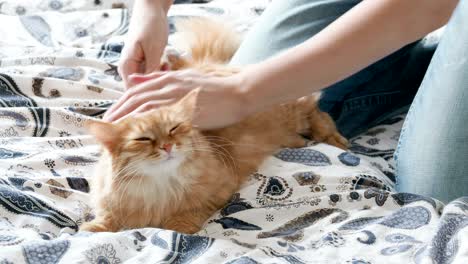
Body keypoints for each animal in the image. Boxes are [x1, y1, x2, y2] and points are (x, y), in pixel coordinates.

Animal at [80, 18, 348, 233]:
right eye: (143, 139)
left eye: (174, 128)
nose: (167, 147)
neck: (162, 187)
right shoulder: (110, 201)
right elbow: (107, 217)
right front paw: (92, 228)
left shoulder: (220, 189)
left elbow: (189, 213)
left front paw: (177, 228)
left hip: (291, 108)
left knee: (316, 108)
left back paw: (334, 140)